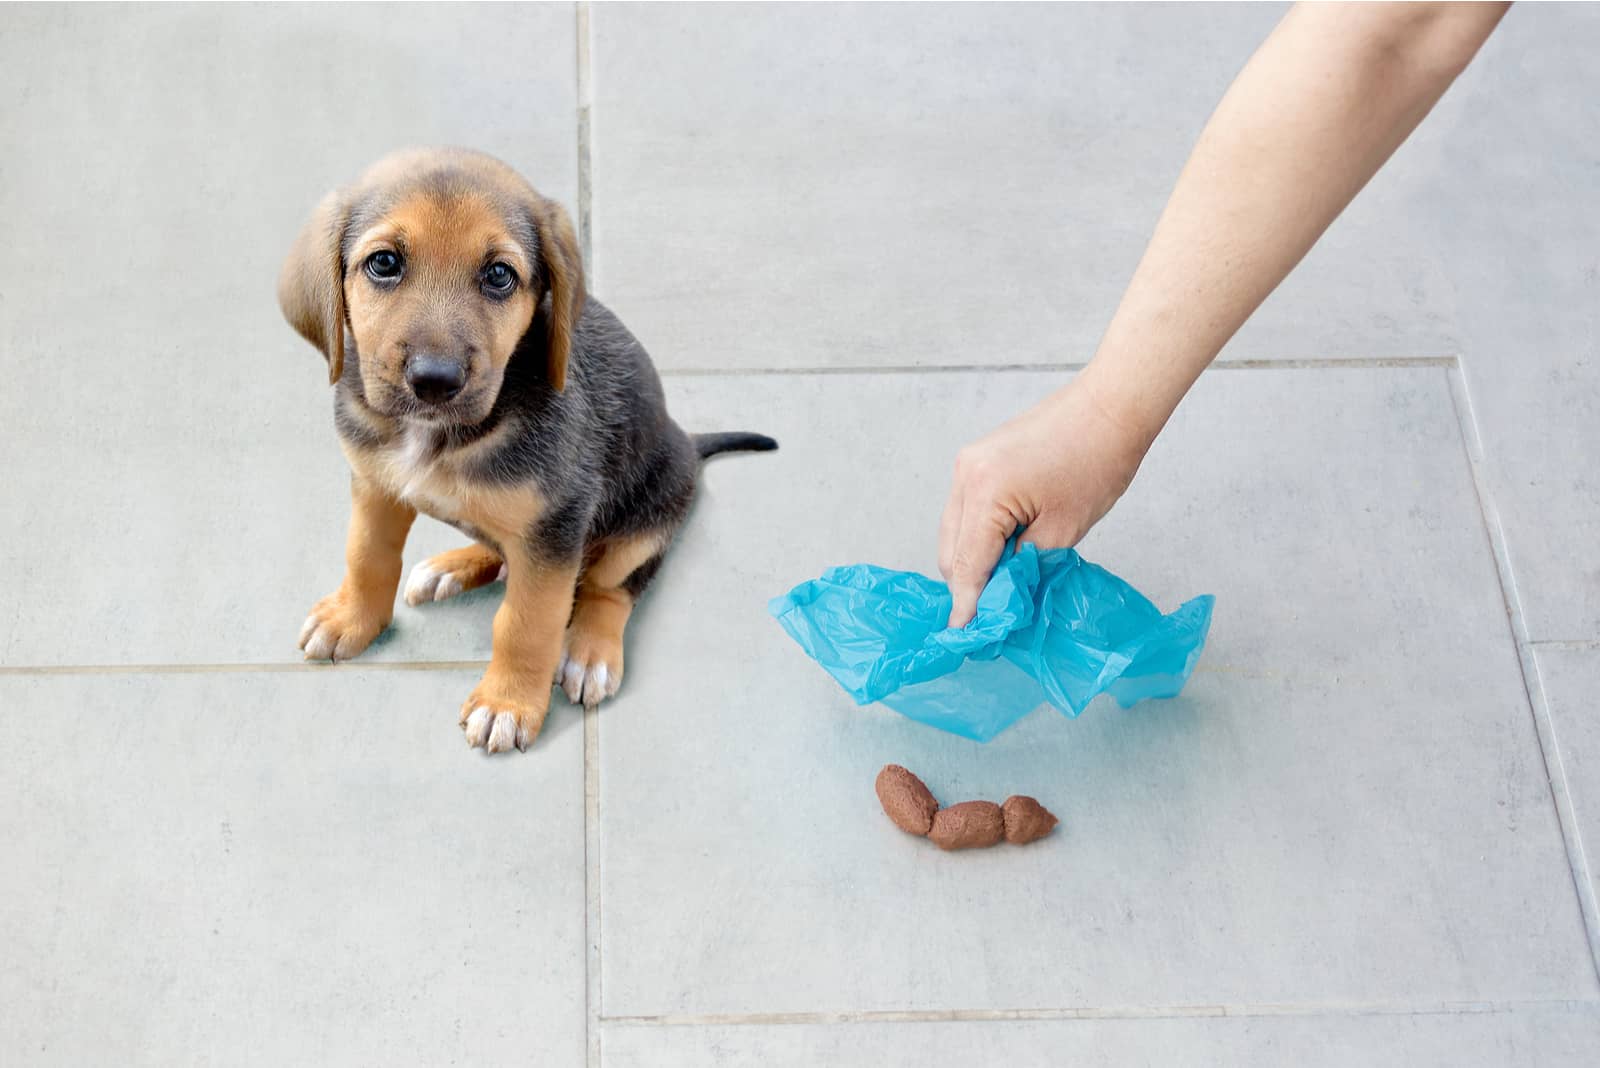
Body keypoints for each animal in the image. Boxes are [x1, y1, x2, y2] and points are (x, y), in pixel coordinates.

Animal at [280, 146, 774, 754]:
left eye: (499, 275)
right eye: (384, 263)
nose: (435, 381)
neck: (439, 435)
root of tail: (687, 441)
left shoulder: (556, 527)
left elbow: (526, 623)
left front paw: (507, 702)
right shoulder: (375, 486)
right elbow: (367, 556)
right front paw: (352, 618)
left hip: (648, 516)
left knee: (611, 586)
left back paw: (589, 650)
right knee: (501, 547)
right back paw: (452, 565)